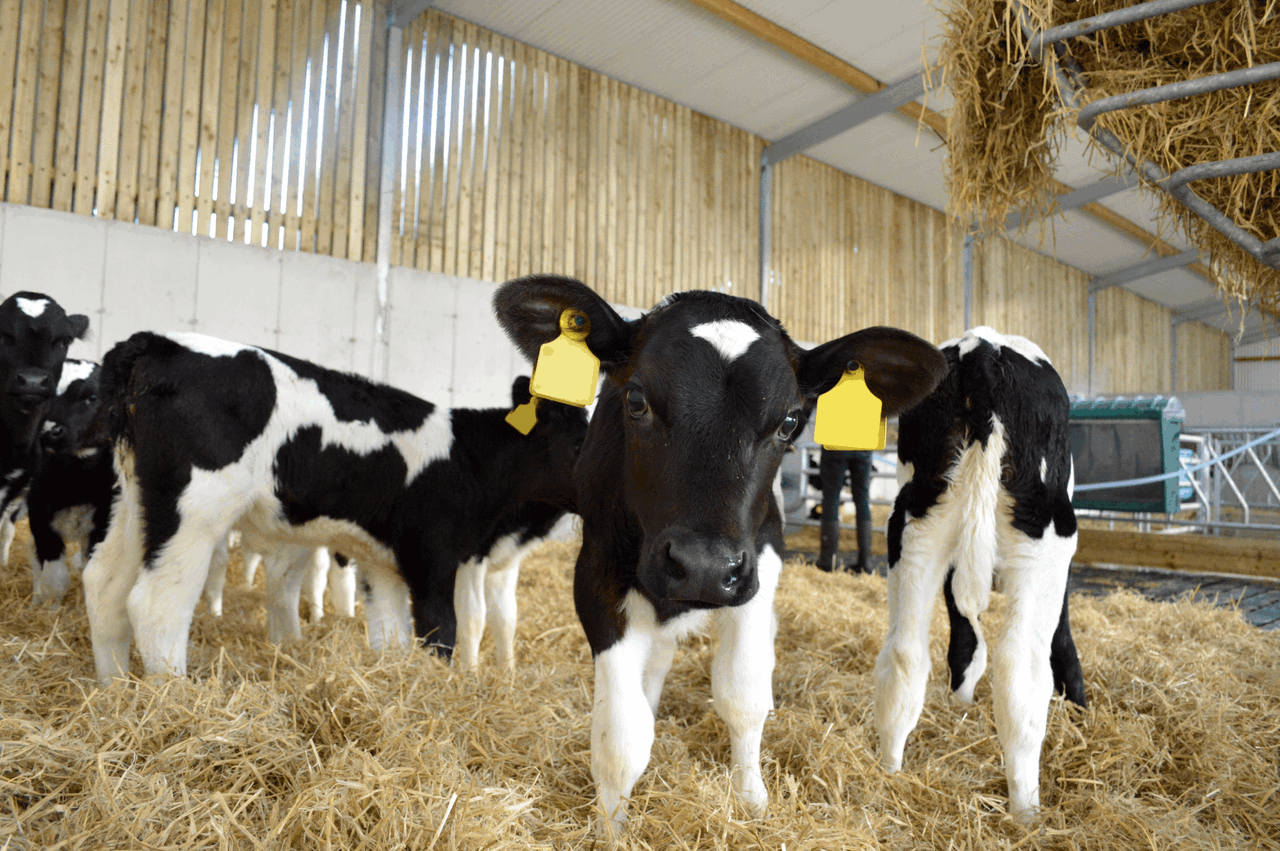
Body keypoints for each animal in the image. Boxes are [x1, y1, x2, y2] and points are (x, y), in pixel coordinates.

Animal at [80, 332, 587, 684]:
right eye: (581, 436)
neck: (466, 458)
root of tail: (158, 342)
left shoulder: (382, 563)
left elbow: (391, 637)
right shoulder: (435, 558)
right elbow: (443, 632)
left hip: (136, 503)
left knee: (104, 585)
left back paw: (114, 691)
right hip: (194, 512)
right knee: (157, 602)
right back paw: (172, 698)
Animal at [493, 274, 947, 831]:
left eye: (790, 421)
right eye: (636, 400)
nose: (703, 567)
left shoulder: (759, 562)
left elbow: (742, 695)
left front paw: (751, 800)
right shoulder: (596, 571)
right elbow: (621, 734)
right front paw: (612, 826)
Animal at [875, 326, 1087, 820]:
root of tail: (983, 348)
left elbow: (964, 642)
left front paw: (962, 700)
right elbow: (1062, 639)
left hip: (913, 528)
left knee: (906, 653)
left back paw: (889, 773)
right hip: (1046, 537)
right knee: (1020, 669)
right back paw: (1027, 812)